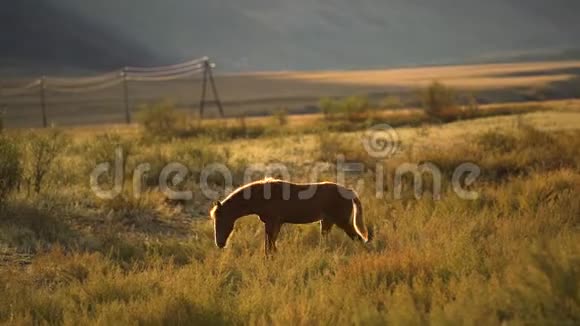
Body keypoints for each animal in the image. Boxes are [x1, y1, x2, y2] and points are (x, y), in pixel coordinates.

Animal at [211, 178, 370, 255]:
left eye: (220, 220)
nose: (219, 244)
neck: (263, 196)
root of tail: (349, 191)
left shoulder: (273, 223)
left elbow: (269, 246)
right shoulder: (274, 224)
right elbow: (270, 245)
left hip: (342, 222)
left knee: (359, 238)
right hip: (327, 222)